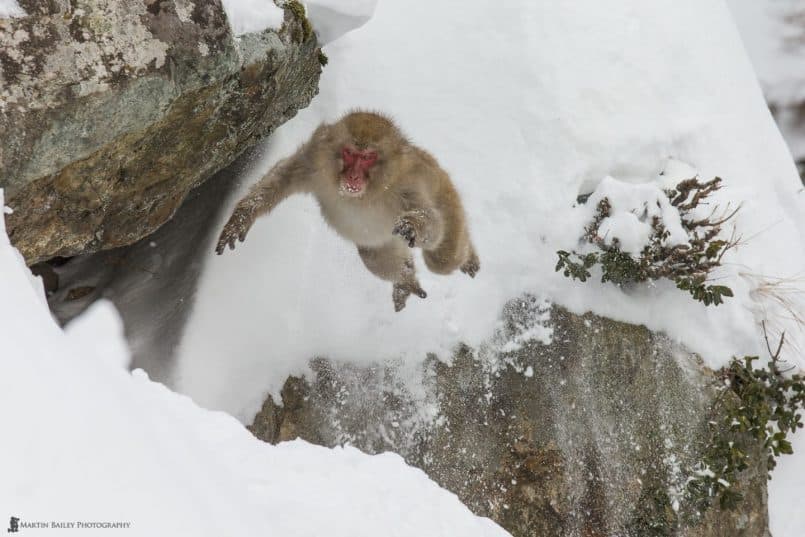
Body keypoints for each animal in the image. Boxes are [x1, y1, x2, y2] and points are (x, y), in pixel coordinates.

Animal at [215, 110, 478, 310]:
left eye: (368, 157)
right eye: (350, 153)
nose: (353, 176)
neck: (364, 195)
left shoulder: (407, 185)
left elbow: (433, 223)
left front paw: (412, 225)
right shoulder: (316, 159)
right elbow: (283, 178)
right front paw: (242, 217)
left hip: (445, 192)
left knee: (441, 258)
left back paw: (468, 255)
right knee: (373, 256)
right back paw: (406, 281)